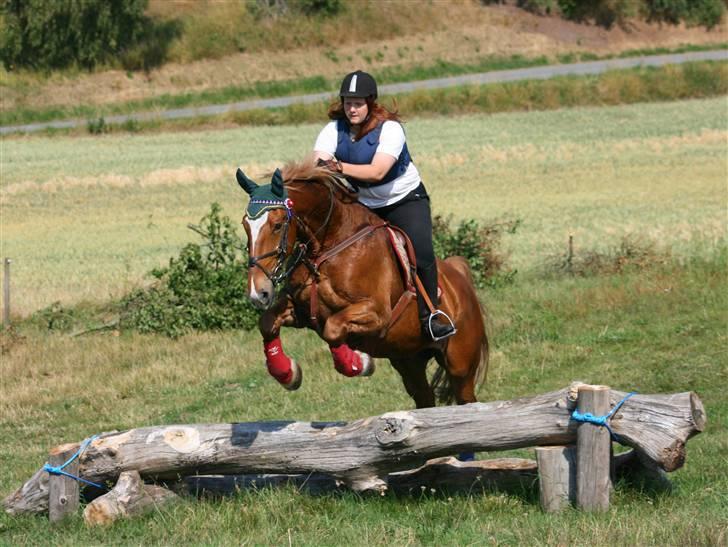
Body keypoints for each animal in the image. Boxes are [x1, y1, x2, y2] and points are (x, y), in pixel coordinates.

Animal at [237, 162, 490, 412]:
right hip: (409, 360)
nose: (258, 293)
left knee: (466, 396)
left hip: (460, 366)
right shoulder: (300, 311)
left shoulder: (376, 314)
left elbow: (333, 328)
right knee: (424, 398)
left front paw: (360, 362)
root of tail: (460, 275)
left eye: (278, 225)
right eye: (245, 225)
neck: (327, 248)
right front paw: (288, 374)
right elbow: (267, 323)